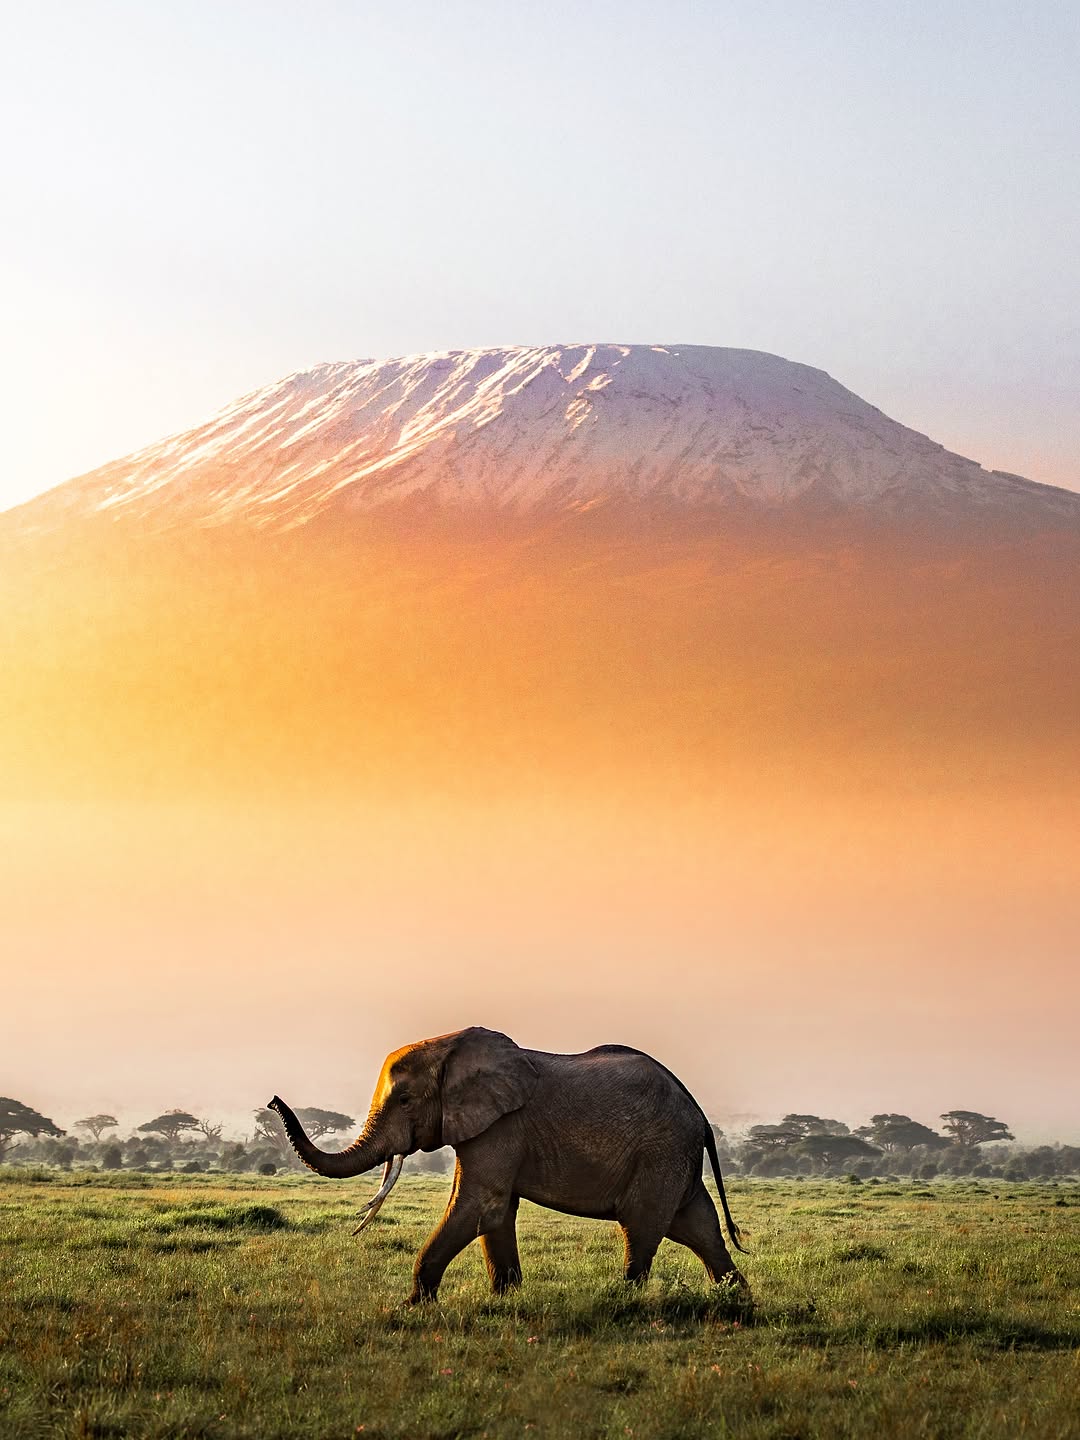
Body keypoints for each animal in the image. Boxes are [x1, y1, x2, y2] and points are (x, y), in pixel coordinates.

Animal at [268, 1026, 747, 1304]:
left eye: (404, 1100)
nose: (273, 1100)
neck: (450, 1049)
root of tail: (700, 1114)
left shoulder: (500, 1126)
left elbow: (481, 1206)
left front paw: (413, 1309)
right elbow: (496, 1213)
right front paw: (504, 1302)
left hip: (660, 1152)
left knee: (643, 1226)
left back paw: (621, 1303)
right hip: (674, 1158)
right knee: (698, 1226)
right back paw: (739, 1301)